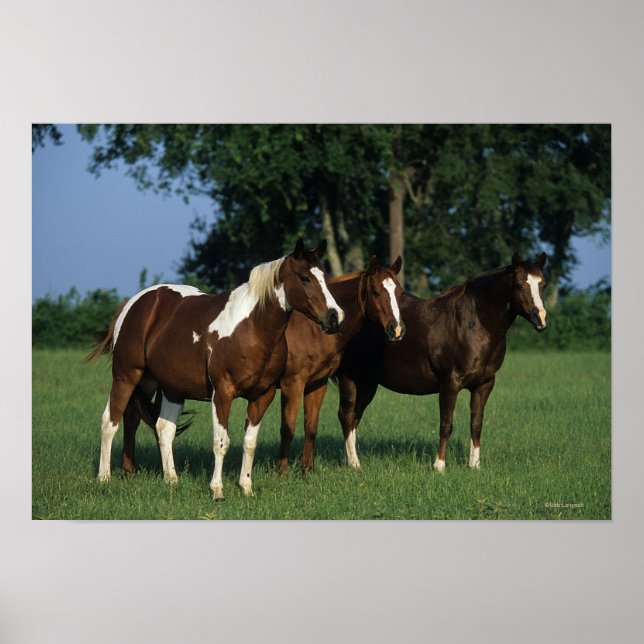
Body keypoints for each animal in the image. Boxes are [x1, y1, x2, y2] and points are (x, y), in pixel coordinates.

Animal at [87, 239, 344, 500]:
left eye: (324, 276)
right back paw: (104, 477)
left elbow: (249, 442)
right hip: (127, 377)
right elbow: (221, 442)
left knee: (157, 426)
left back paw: (164, 478)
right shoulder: (222, 393)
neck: (252, 327)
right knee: (110, 422)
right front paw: (217, 490)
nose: (335, 317)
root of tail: (131, 304)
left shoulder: (263, 395)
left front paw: (246, 487)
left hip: (165, 386)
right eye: (304, 278)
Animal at [275, 255, 405, 474]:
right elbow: (288, 428)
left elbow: (311, 426)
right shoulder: (292, 384)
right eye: (376, 291)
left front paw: (307, 469)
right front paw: (281, 471)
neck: (311, 329)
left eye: (400, 292)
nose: (396, 329)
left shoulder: (317, 383)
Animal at [334, 252, 548, 471]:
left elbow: (476, 424)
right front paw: (439, 465)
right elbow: (446, 424)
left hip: (367, 383)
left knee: (354, 418)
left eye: (543, 284)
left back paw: (348, 459)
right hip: (350, 378)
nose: (540, 318)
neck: (473, 324)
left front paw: (474, 465)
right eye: (519, 285)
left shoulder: (484, 384)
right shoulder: (449, 383)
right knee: (347, 415)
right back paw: (354, 463)